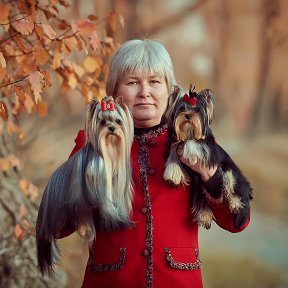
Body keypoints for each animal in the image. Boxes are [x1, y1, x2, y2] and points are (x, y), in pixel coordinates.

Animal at [164, 85, 252, 230]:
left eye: (197, 110)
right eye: (181, 108)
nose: (188, 115)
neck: (189, 132)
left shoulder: (207, 148)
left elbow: (191, 143)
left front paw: (189, 151)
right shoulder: (175, 143)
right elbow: (173, 153)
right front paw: (174, 174)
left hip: (230, 172)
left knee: (232, 187)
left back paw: (235, 204)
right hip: (199, 186)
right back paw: (204, 215)